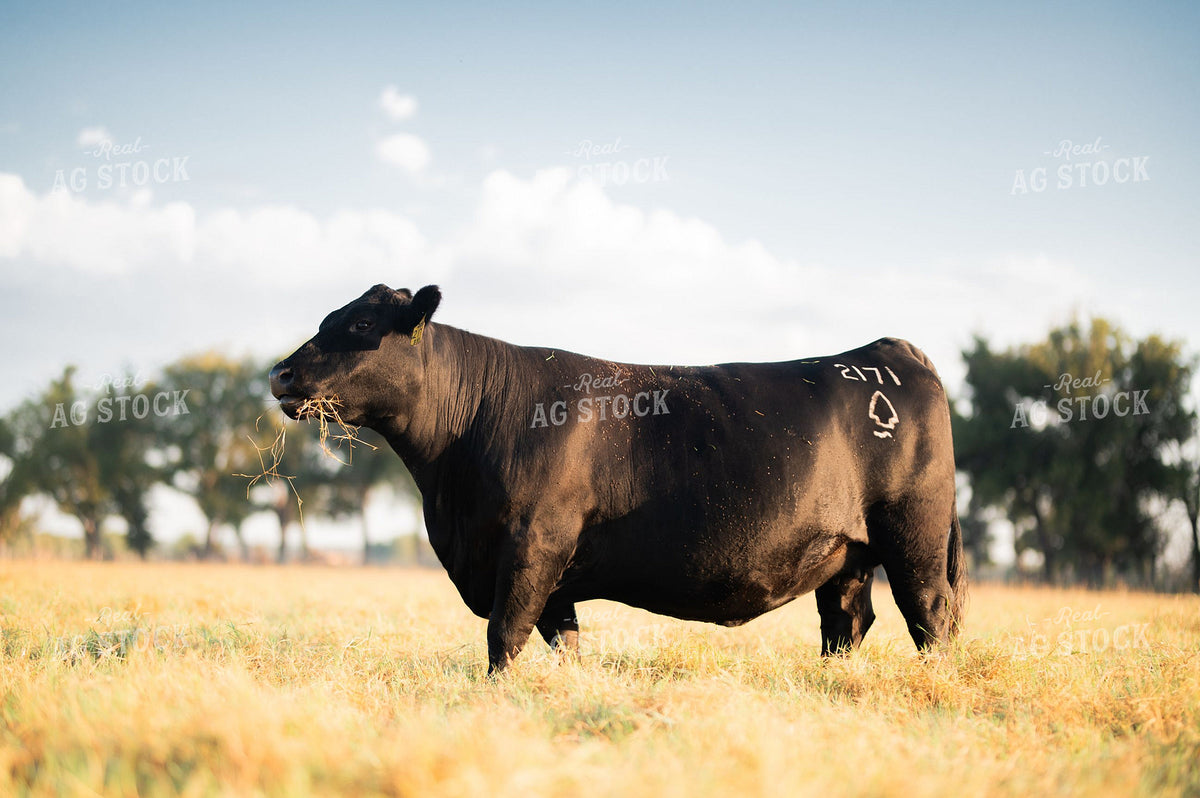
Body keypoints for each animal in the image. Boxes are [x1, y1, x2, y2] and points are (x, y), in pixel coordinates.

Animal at [270, 284, 966, 674]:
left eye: (361, 326)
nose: (279, 374)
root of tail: (886, 351)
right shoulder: (552, 577)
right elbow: (564, 643)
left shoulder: (533, 544)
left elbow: (503, 637)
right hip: (847, 551)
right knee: (846, 622)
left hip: (914, 534)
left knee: (930, 613)